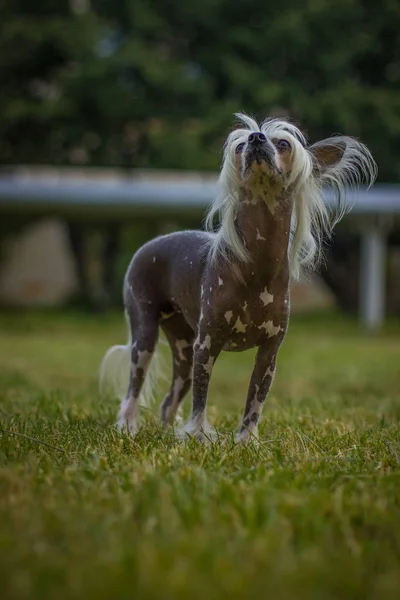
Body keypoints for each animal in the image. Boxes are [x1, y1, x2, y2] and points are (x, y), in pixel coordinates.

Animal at [99, 113, 376, 440]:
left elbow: (255, 401)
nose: (256, 139)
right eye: (241, 145)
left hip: (183, 346)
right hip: (146, 334)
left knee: (169, 401)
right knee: (133, 390)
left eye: (283, 143)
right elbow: (201, 399)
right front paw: (199, 436)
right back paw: (128, 427)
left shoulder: (269, 352)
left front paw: (246, 440)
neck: (259, 266)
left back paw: (167, 433)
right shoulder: (207, 344)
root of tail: (151, 243)